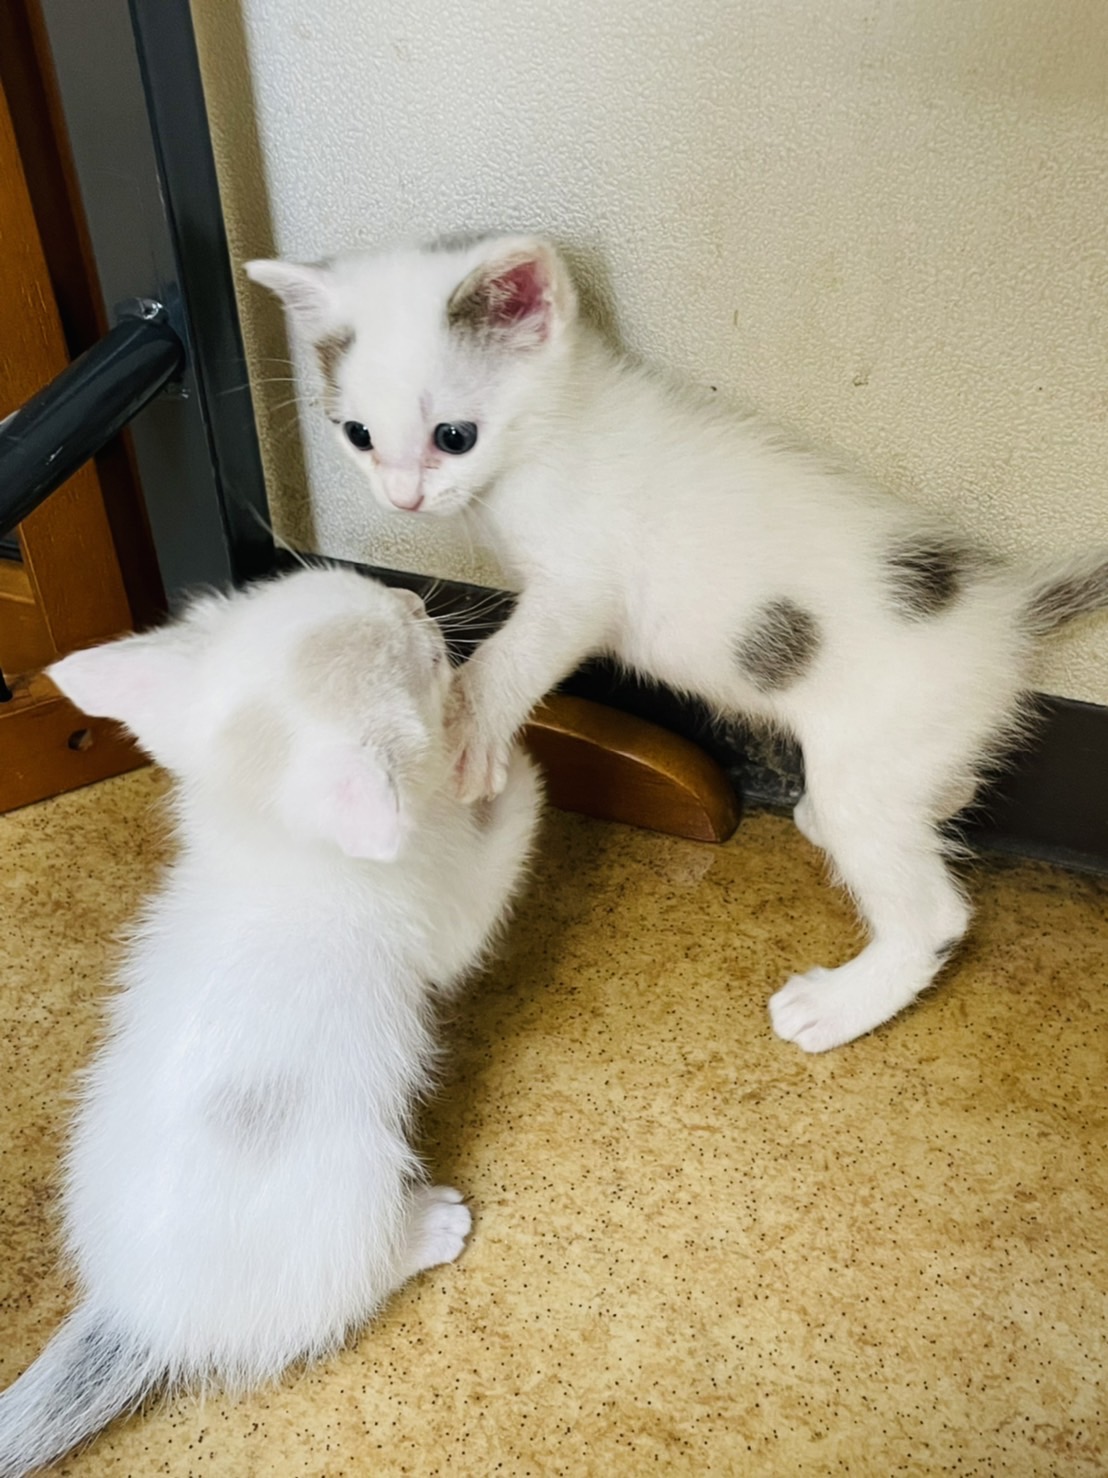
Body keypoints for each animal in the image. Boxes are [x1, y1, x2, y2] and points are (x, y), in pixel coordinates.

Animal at [0, 567, 543, 1478]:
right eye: (429, 664)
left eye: (362, 584)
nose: (415, 601)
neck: (266, 848)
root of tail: (140, 1310)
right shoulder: (441, 914)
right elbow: (490, 872)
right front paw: (518, 770)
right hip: (354, 1181)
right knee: (350, 1279)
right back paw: (427, 1228)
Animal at [249, 239, 1108, 1052]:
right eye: (357, 436)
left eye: (453, 437)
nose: (403, 498)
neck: (558, 428)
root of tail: (1006, 612)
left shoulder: (579, 586)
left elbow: (514, 657)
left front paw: (468, 727)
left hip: (878, 755)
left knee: (932, 915)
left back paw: (841, 1004)